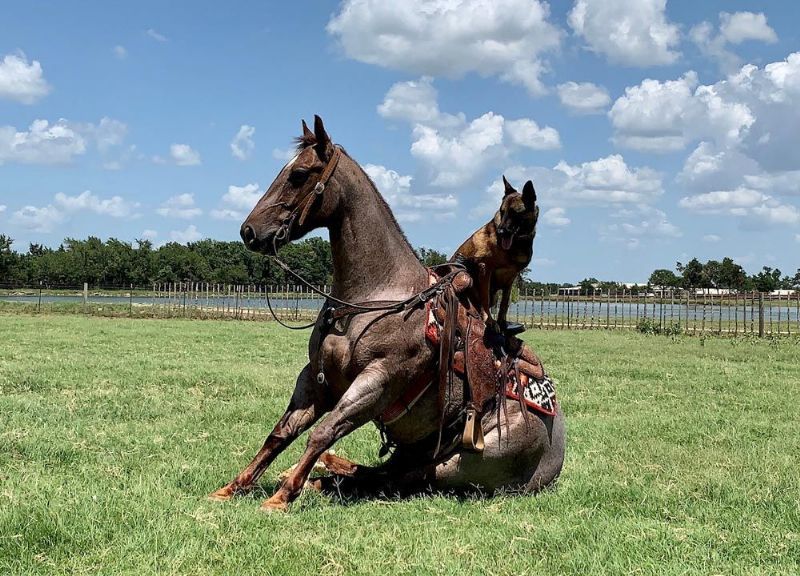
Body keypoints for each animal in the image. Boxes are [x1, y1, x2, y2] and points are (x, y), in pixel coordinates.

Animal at [209, 115, 565, 511]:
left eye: (299, 175)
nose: (249, 231)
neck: (372, 299)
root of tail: (553, 460)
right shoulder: (316, 381)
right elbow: (281, 433)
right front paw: (233, 487)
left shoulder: (377, 383)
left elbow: (322, 432)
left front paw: (281, 497)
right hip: (412, 451)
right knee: (376, 472)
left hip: (449, 466)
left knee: (392, 479)